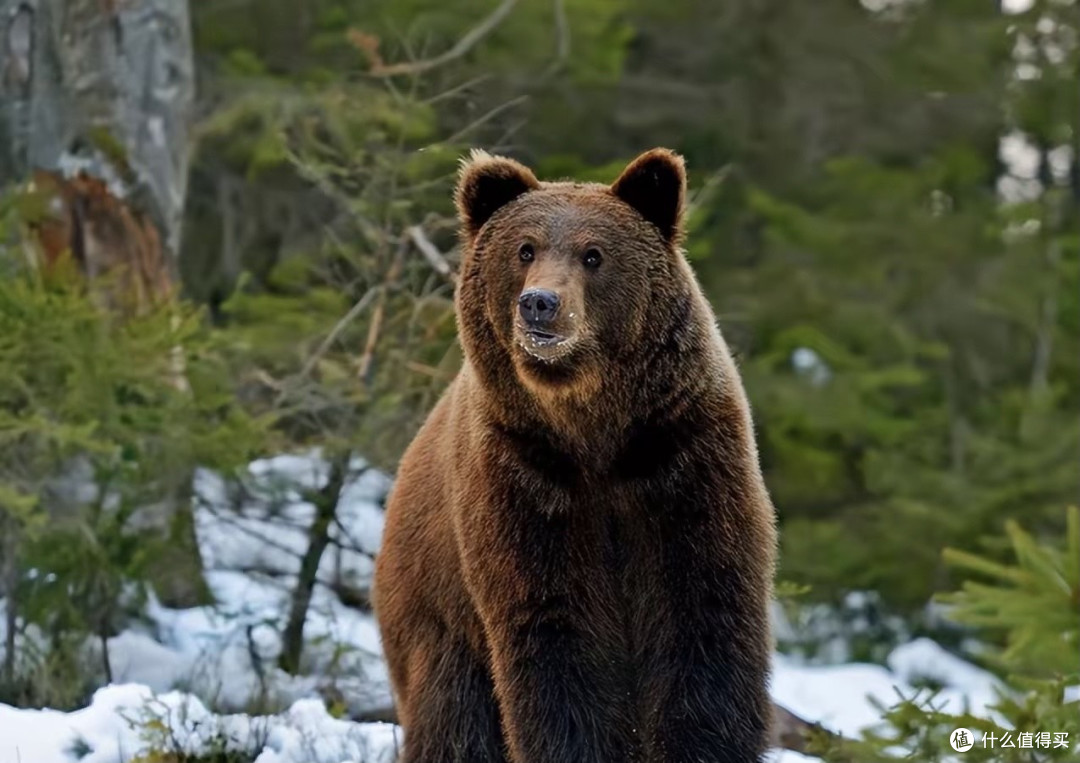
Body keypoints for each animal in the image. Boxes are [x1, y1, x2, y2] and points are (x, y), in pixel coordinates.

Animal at [373, 147, 778, 763]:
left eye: (594, 254)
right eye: (525, 249)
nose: (540, 303)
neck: (593, 432)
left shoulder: (682, 460)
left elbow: (704, 615)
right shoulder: (524, 479)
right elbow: (556, 637)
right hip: (435, 611)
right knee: (454, 718)